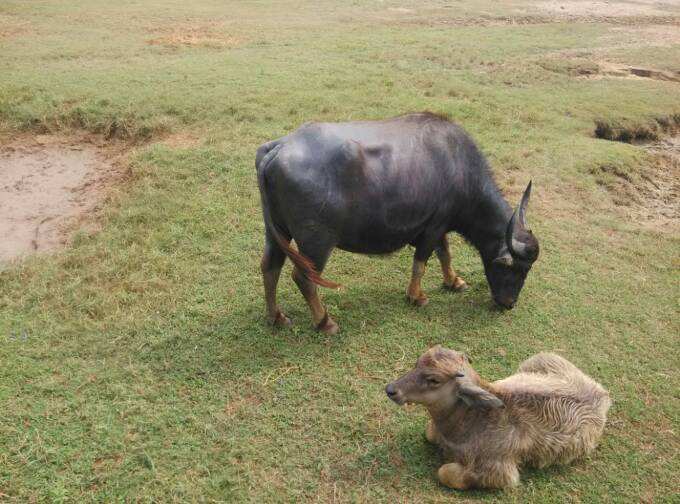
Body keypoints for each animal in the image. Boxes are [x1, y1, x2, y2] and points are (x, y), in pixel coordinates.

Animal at [258, 113, 540, 334]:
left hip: (276, 232)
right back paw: (324, 322)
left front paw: (454, 281)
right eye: (516, 269)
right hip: (317, 242)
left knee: (270, 267)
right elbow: (421, 263)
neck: (458, 168)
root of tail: (278, 148)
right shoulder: (433, 227)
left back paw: (276, 316)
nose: (509, 303)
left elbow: (445, 254)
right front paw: (416, 296)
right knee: (303, 277)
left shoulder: (439, 226)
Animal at [386, 346, 612, 488]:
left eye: (434, 380)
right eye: (416, 363)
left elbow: (445, 473)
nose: (391, 390)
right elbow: (429, 433)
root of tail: (601, 394)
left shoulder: (500, 472)